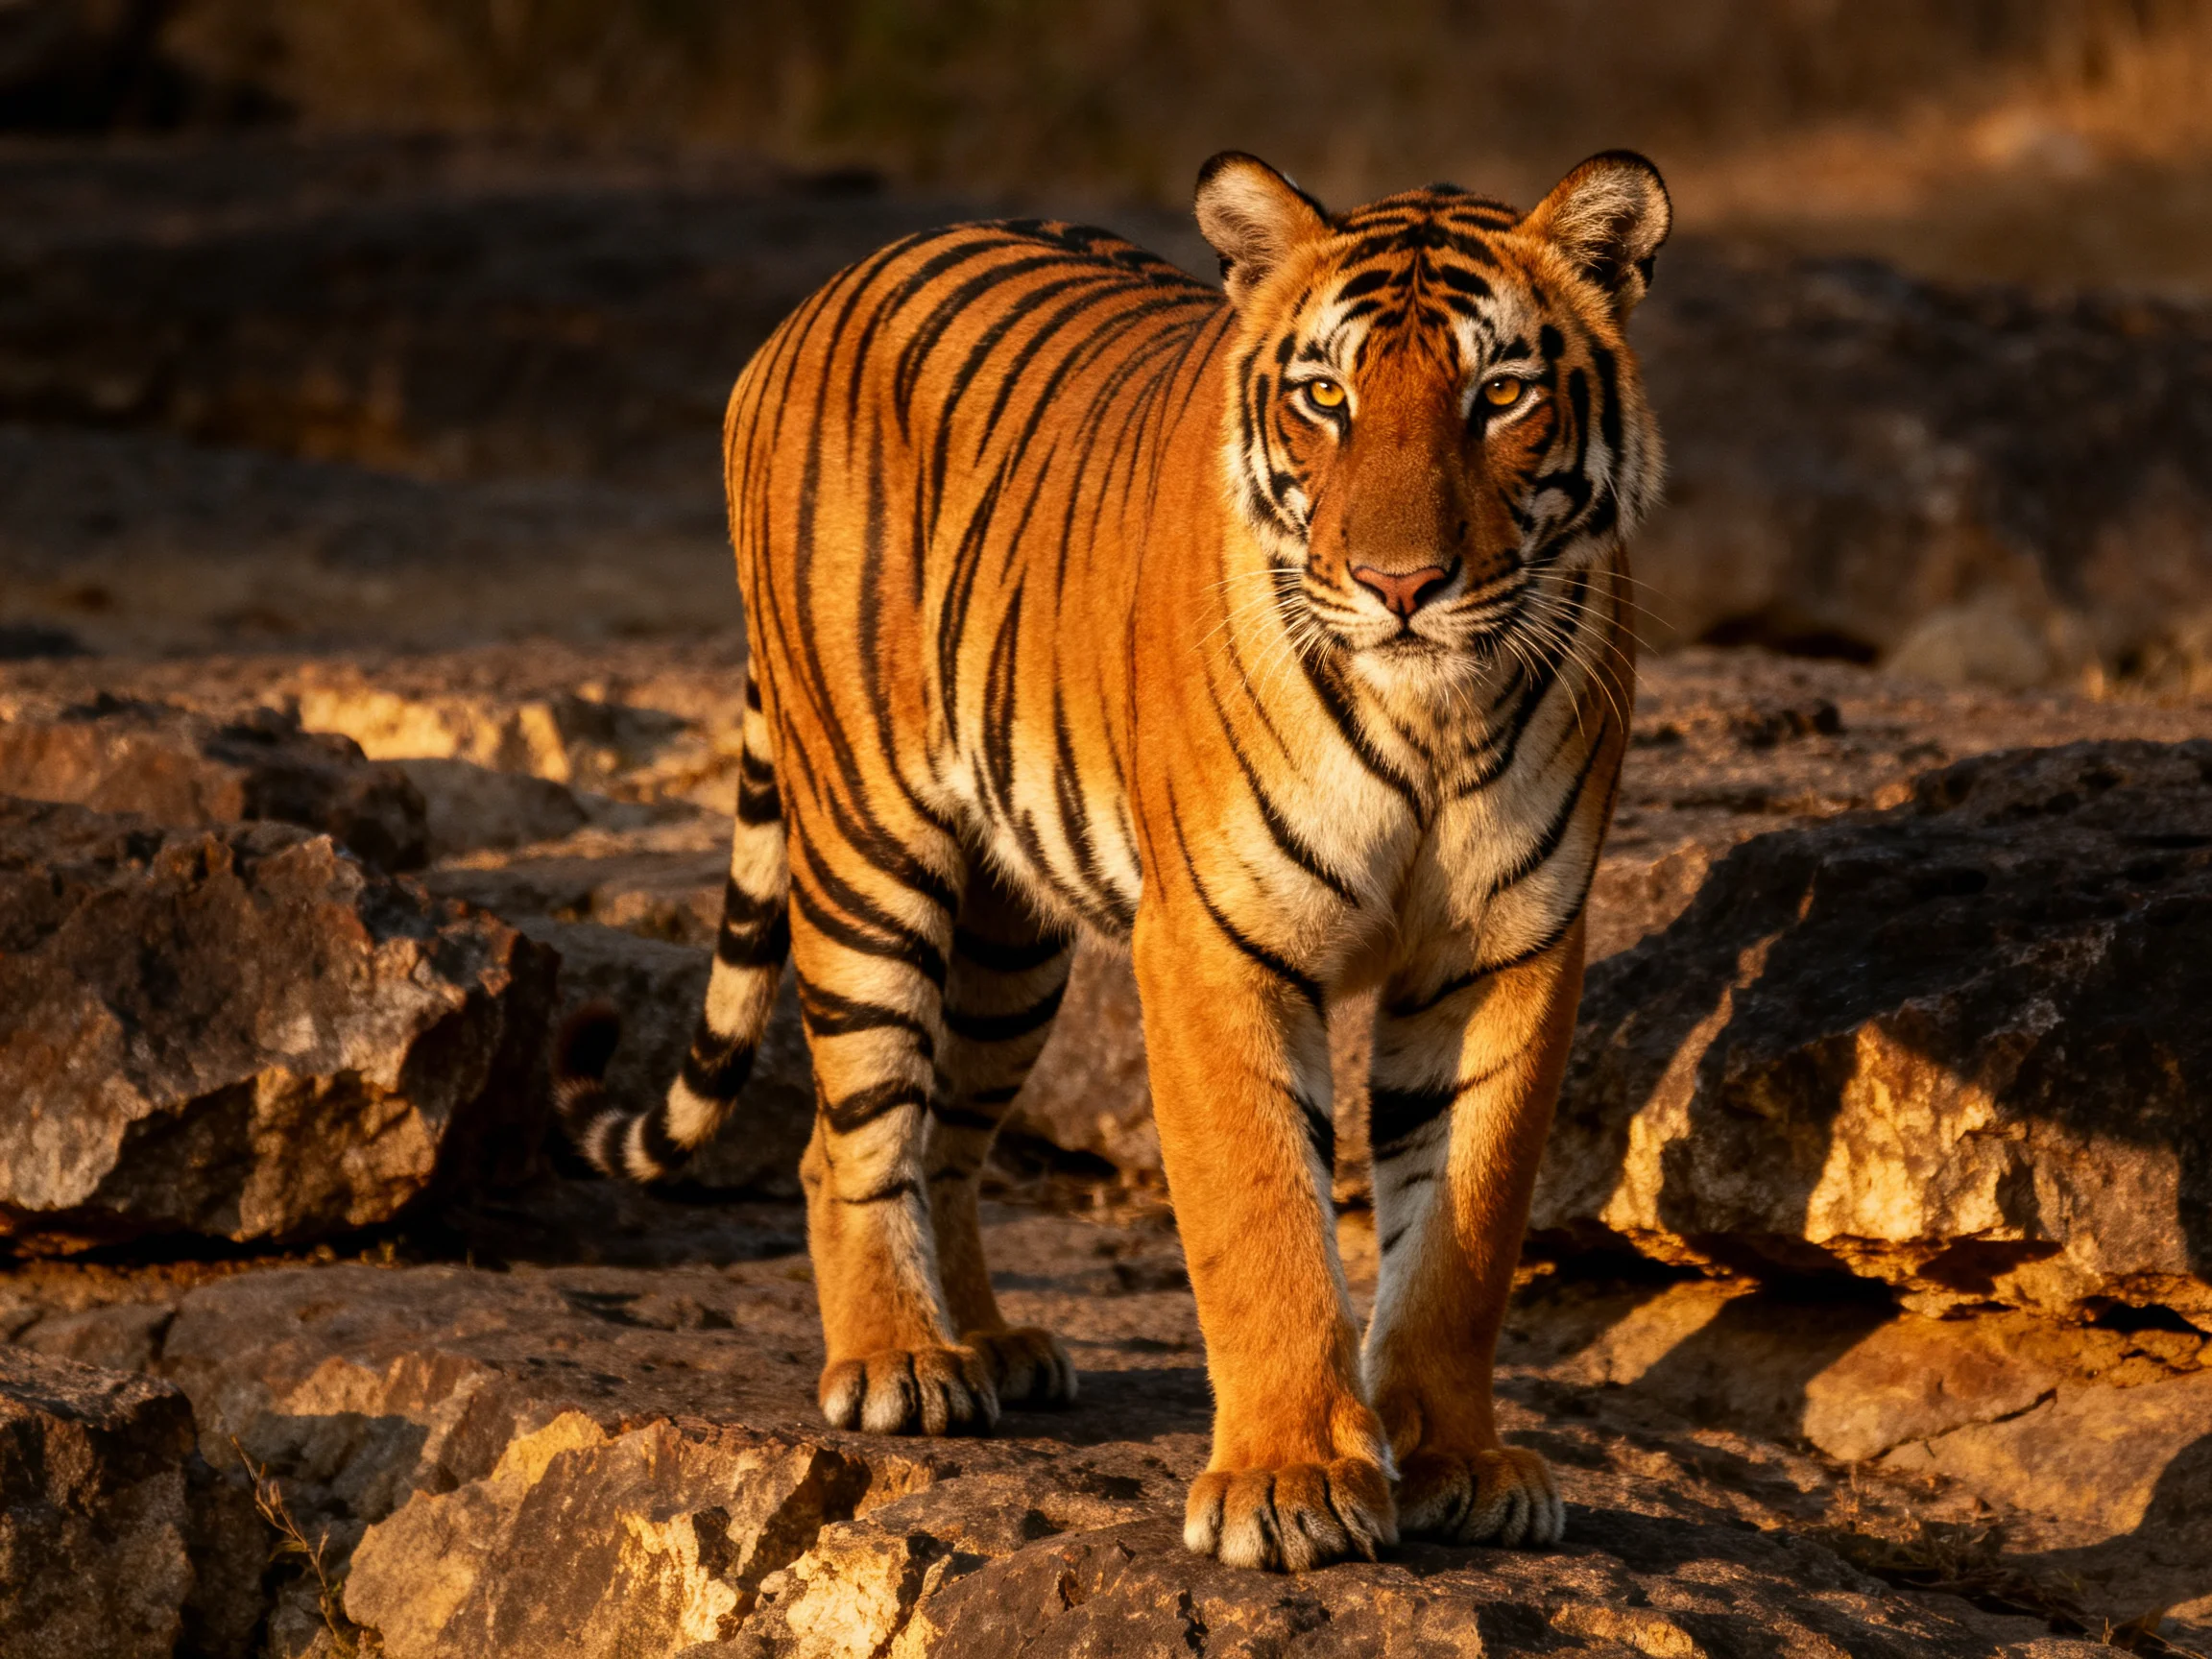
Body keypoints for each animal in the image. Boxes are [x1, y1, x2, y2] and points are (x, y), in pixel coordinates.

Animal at [554, 148, 1668, 1572]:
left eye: (1503, 396)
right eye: (1327, 397)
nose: (1400, 586)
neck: (1431, 712)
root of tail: (832, 285)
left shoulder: (1508, 951)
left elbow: (1462, 1228)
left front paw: (1459, 1463)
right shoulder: (1215, 943)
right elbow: (1262, 1214)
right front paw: (1288, 1483)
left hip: (1013, 935)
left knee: (949, 1134)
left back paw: (987, 1344)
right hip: (869, 842)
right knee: (850, 1128)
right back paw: (900, 1362)